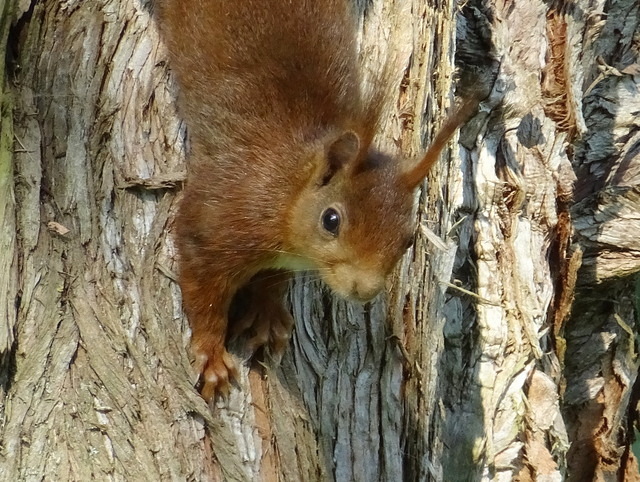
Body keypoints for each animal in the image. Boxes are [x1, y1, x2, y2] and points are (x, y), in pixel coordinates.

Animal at [156, 0, 478, 401]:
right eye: (331, 220)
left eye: (408, 241)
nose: (364, 290)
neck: (289, 194)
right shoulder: (217, 218)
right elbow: (205, 294)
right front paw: (211, 354)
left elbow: (273, 280)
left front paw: (267, 314)